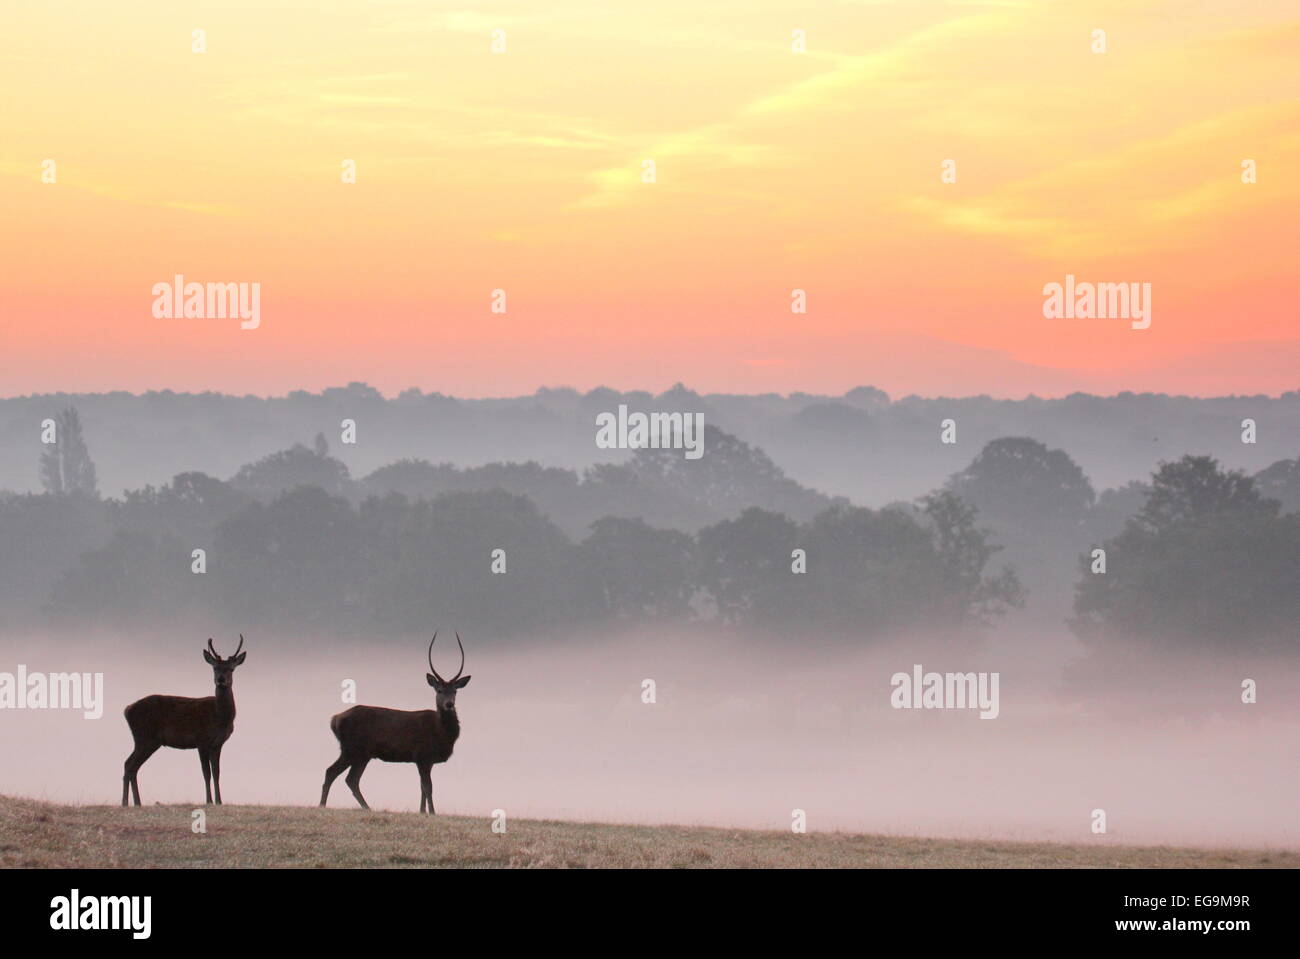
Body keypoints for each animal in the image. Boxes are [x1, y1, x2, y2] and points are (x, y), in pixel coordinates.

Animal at [121, 634, 245, 805]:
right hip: (144, 737)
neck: (219, 718)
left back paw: (136, 803)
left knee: (132, 766)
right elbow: (206, 773)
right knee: (129, 764)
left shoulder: (217, 744)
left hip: (148, 741)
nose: (221, 679)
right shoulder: (201, 740)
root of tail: (127, 709)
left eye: (231, 669)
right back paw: (126, 803)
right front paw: (209, 801)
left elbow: (217, 772)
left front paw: (219, 801)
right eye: (215, 668)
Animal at [321, 631, 473, 810]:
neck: (441, 733)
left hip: (362, 753)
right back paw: (323, 805)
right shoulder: (423, 755)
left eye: (455, 691)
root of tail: (335, 719)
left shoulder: (423, 760)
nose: (449, 704)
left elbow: (422, 787)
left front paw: (422, 811)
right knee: (332, 772)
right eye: (439, 690)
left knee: (351, 779)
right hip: (352, 748)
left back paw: (366, 808)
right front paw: (432, 812)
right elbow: (428, 787)